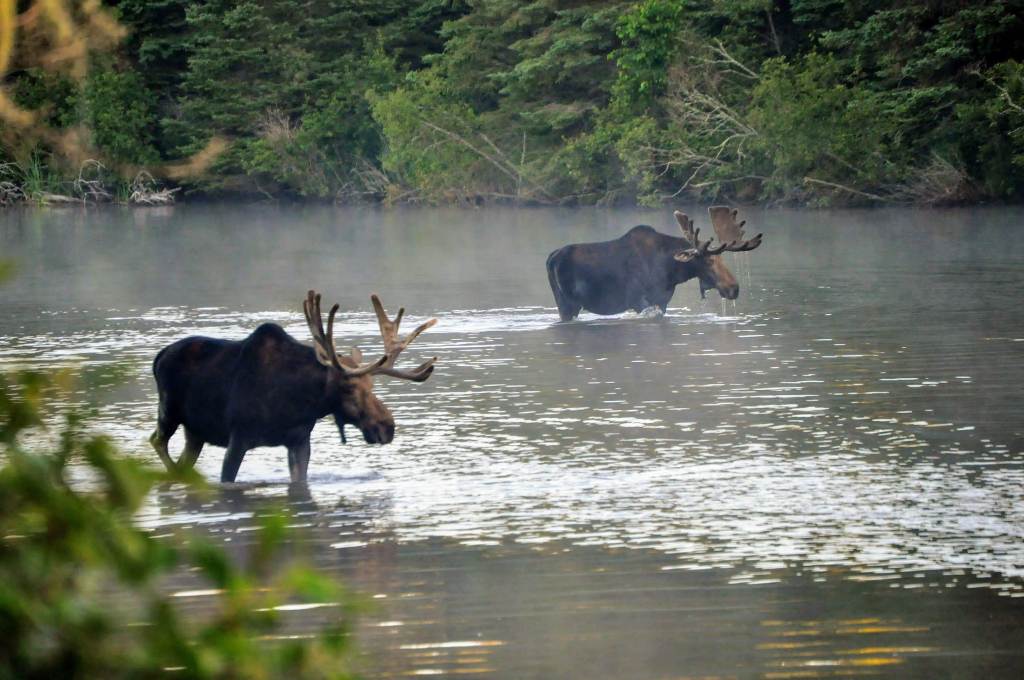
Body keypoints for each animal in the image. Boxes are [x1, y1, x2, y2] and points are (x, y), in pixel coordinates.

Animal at [150, 290, 437, 483]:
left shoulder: (299, 441)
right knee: (156, 440)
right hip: (169, 411)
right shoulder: (238, 437)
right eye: (348, 387)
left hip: (194, 433)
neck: (299, 402)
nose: (387, 427)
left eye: (372, 385)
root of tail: (158, 357)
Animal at [545, 207, 763, 321]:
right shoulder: (638, 300)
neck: (671, 272)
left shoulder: (662, 301)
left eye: (722, 259)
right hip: (567, 303)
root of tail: (551, 257)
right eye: (709, 260)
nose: (734, 288)